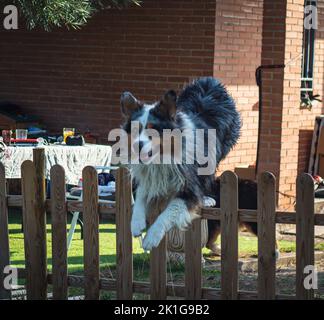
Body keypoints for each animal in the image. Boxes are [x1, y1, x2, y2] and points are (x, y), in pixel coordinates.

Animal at [120, 77, 242, 250]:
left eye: (153, 130)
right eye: (135, 130)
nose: (137, 145)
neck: (163, 158)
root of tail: (210, 82)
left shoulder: (189, 187)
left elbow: (170, 210)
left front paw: (152, 237)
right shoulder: (150, 177)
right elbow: (141, 194)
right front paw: (136, 224)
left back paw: (206, 198)